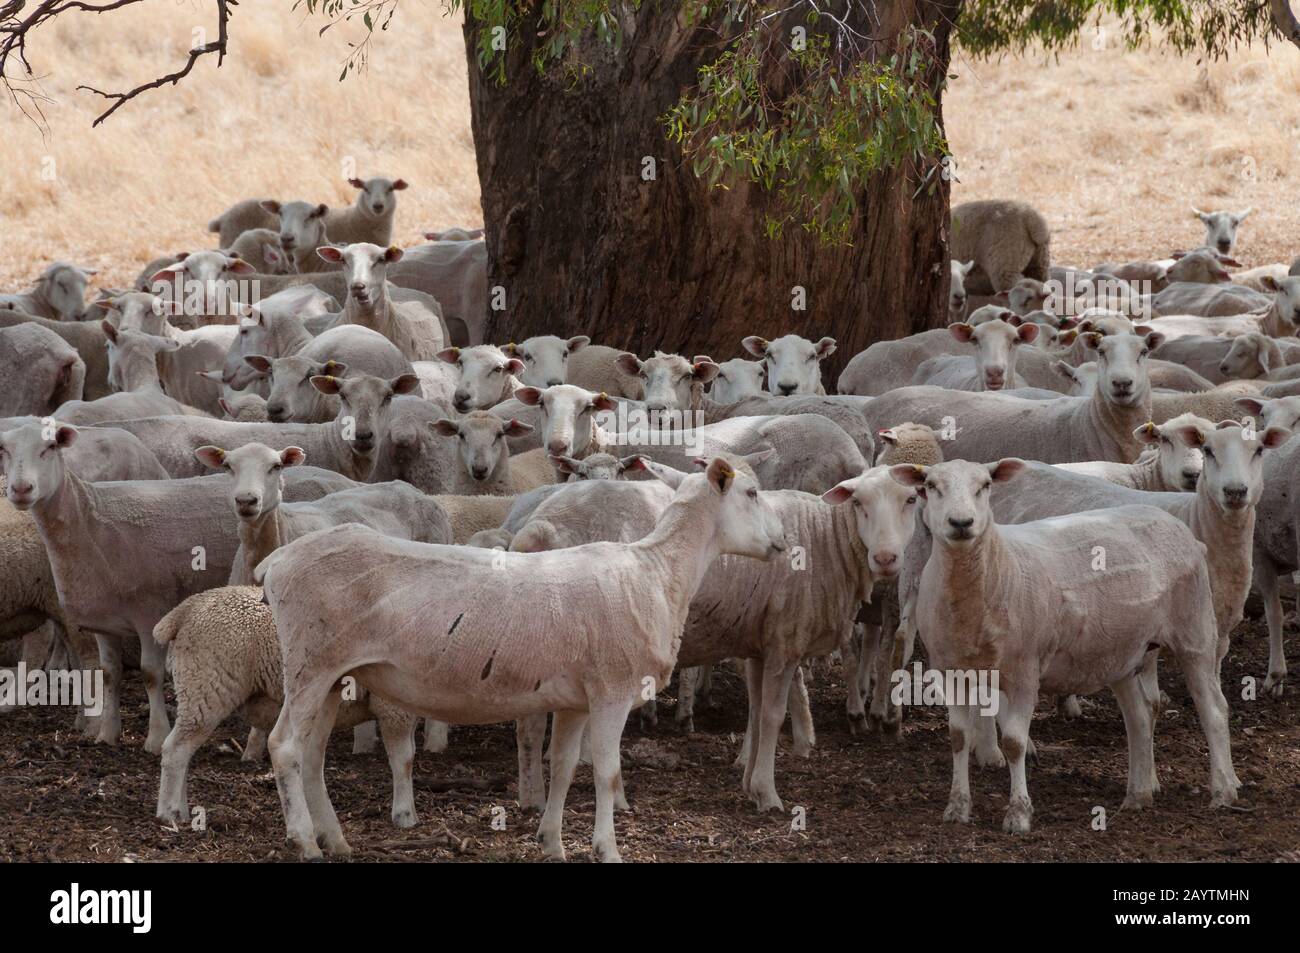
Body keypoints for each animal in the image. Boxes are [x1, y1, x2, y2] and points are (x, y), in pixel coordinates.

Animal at [153, 586, 420, 828]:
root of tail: (186, 609)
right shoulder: (394, 708)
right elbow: (403, 760)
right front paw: (405, 816)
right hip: (206, 687)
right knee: (175, 749)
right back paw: (169, 813)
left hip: (199, 690)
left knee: (183, 751)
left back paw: (181, 810)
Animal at [257, 456, 786, 861]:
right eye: (753, 492)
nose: (782, 541)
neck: (658, 572)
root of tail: (276, 562)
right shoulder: (612, 691)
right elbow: (607, 771)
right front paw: (607, 849)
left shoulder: (574, 700)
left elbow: (566, 767)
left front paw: (551, 841)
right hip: (308, 664)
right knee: (284, 746)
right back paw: (305, 842)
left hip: (332, 673)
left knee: (311, 753)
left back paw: (335, 840)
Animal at [891, 459, 1236, 832]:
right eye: (930, 486)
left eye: (985, 485)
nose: (961, 523)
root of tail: (1180, 528)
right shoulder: (949, 670)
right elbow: (958, 737)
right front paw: (957, 807)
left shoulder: (1024, 671)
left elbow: (1014, 743)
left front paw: (1018, 813)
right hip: (1123, 653)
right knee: (1140, 717)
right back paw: (1138, 795)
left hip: (1195, 632)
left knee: (1214, 709)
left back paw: (1223, 791)